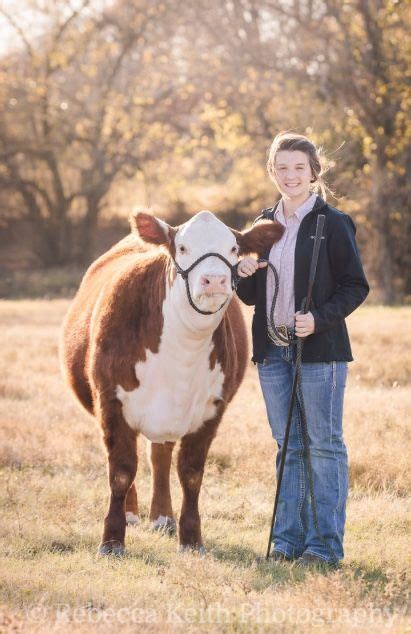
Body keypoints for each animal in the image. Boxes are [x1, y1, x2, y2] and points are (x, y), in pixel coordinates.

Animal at [61, 209, 284, 552]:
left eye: (234, 249)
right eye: (182, 247)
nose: (215, 280)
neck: (182, 351)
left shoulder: (212, 409)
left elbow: (190, 473)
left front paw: (191, 538)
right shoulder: (110, 401)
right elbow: (121, 471)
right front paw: (112, 540)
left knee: (160, 456)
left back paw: (163, 517)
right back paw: (132, 514)